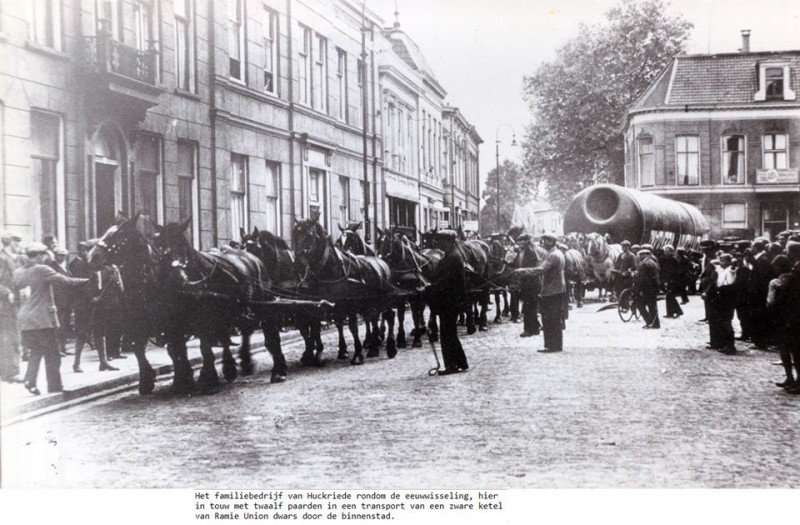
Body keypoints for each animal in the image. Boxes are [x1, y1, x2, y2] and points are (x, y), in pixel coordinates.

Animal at [292, 213, 398, 364]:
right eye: (295, 233)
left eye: (309, 234)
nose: (297, 262)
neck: (330, 268)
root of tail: (382, 263)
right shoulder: (325, 304)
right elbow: (326, 325)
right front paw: (336, 351)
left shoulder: (350, 302)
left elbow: (353, 327)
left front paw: (357, 354)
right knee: (372, 317)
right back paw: (373, 347)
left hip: (383, 299)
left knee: (388, 316)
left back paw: (390, 347)